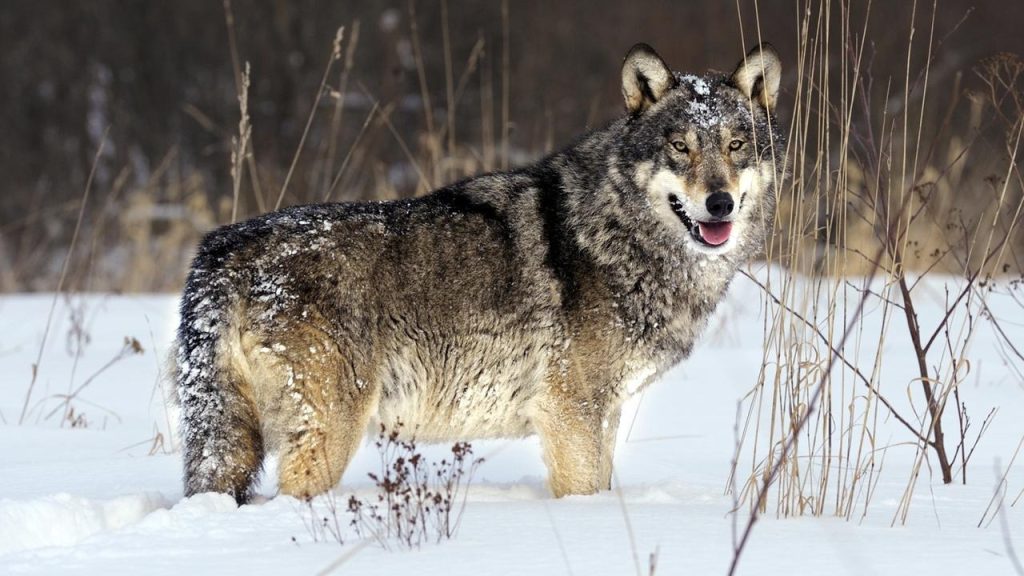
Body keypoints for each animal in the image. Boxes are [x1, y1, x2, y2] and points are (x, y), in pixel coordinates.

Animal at [174, 42, 782, 500]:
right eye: (680, 146)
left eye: (736, 145)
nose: (720, 203)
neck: (613, 231)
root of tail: (222, 247)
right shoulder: (573, 413)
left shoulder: (603, 414)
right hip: (329, 435)